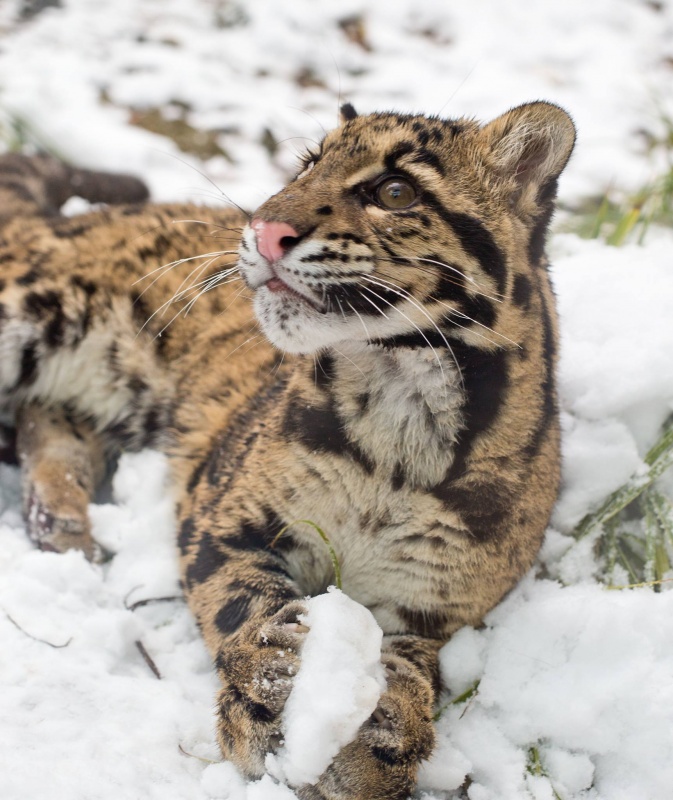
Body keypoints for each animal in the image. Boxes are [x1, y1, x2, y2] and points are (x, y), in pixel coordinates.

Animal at [0, 100, 572, 800]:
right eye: (305, 167)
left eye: (396, 191)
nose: (263, 228)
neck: (402, 407)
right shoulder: (222, 513)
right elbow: (242, 603)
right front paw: (266, 696)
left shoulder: (434, 607)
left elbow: (414, 672)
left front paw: (377, 748)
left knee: (46, 427)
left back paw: (63, 528)